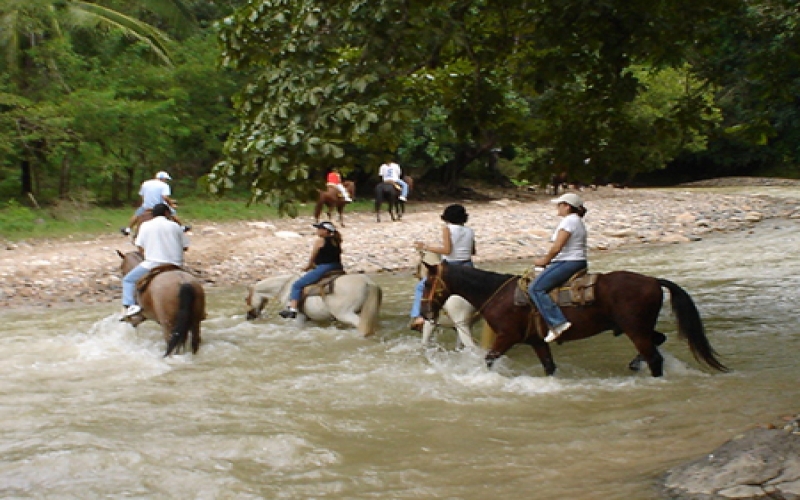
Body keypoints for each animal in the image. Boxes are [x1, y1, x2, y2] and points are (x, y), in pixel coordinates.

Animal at [245, 273, 382, 337]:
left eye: (246, 299)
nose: (248, 317)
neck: (286, 287)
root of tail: (368, 282)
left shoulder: (299, 317)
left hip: (346, 314)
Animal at [420, 262, 728, 377]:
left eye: (427, 283)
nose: (424, 314)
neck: (496, 293)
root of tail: (653, 280)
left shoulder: (507, 337)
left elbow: (488, 360)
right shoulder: (536, 341)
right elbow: (548, 366)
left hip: (635, 329)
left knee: (655, 357)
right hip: (640, 328)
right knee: (657, 341)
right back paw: (634, 363)